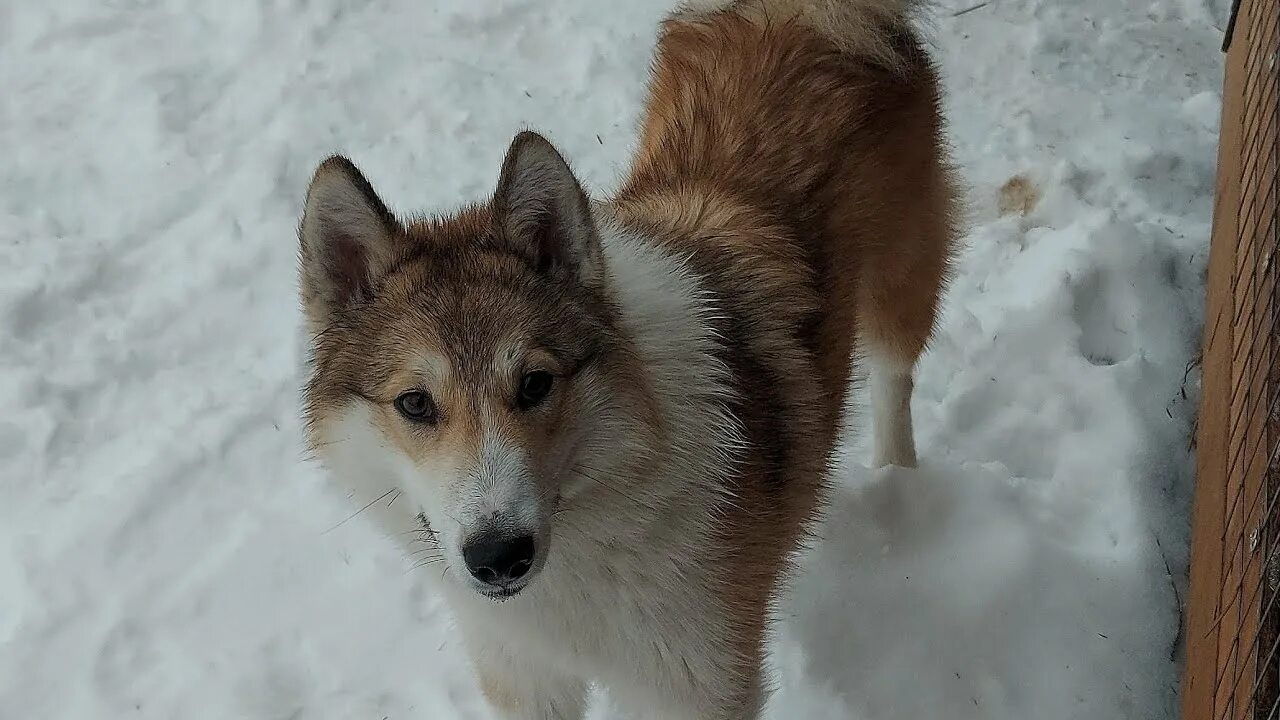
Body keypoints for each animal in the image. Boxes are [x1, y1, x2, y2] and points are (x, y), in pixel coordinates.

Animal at [299, 0, 957, 712]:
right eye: (415, 403)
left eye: (536, 384)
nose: (499, 557)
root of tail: (797, 15)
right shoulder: (523, 675)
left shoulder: (698, 684)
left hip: (901, 282)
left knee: (894, 377)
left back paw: (897, 479)